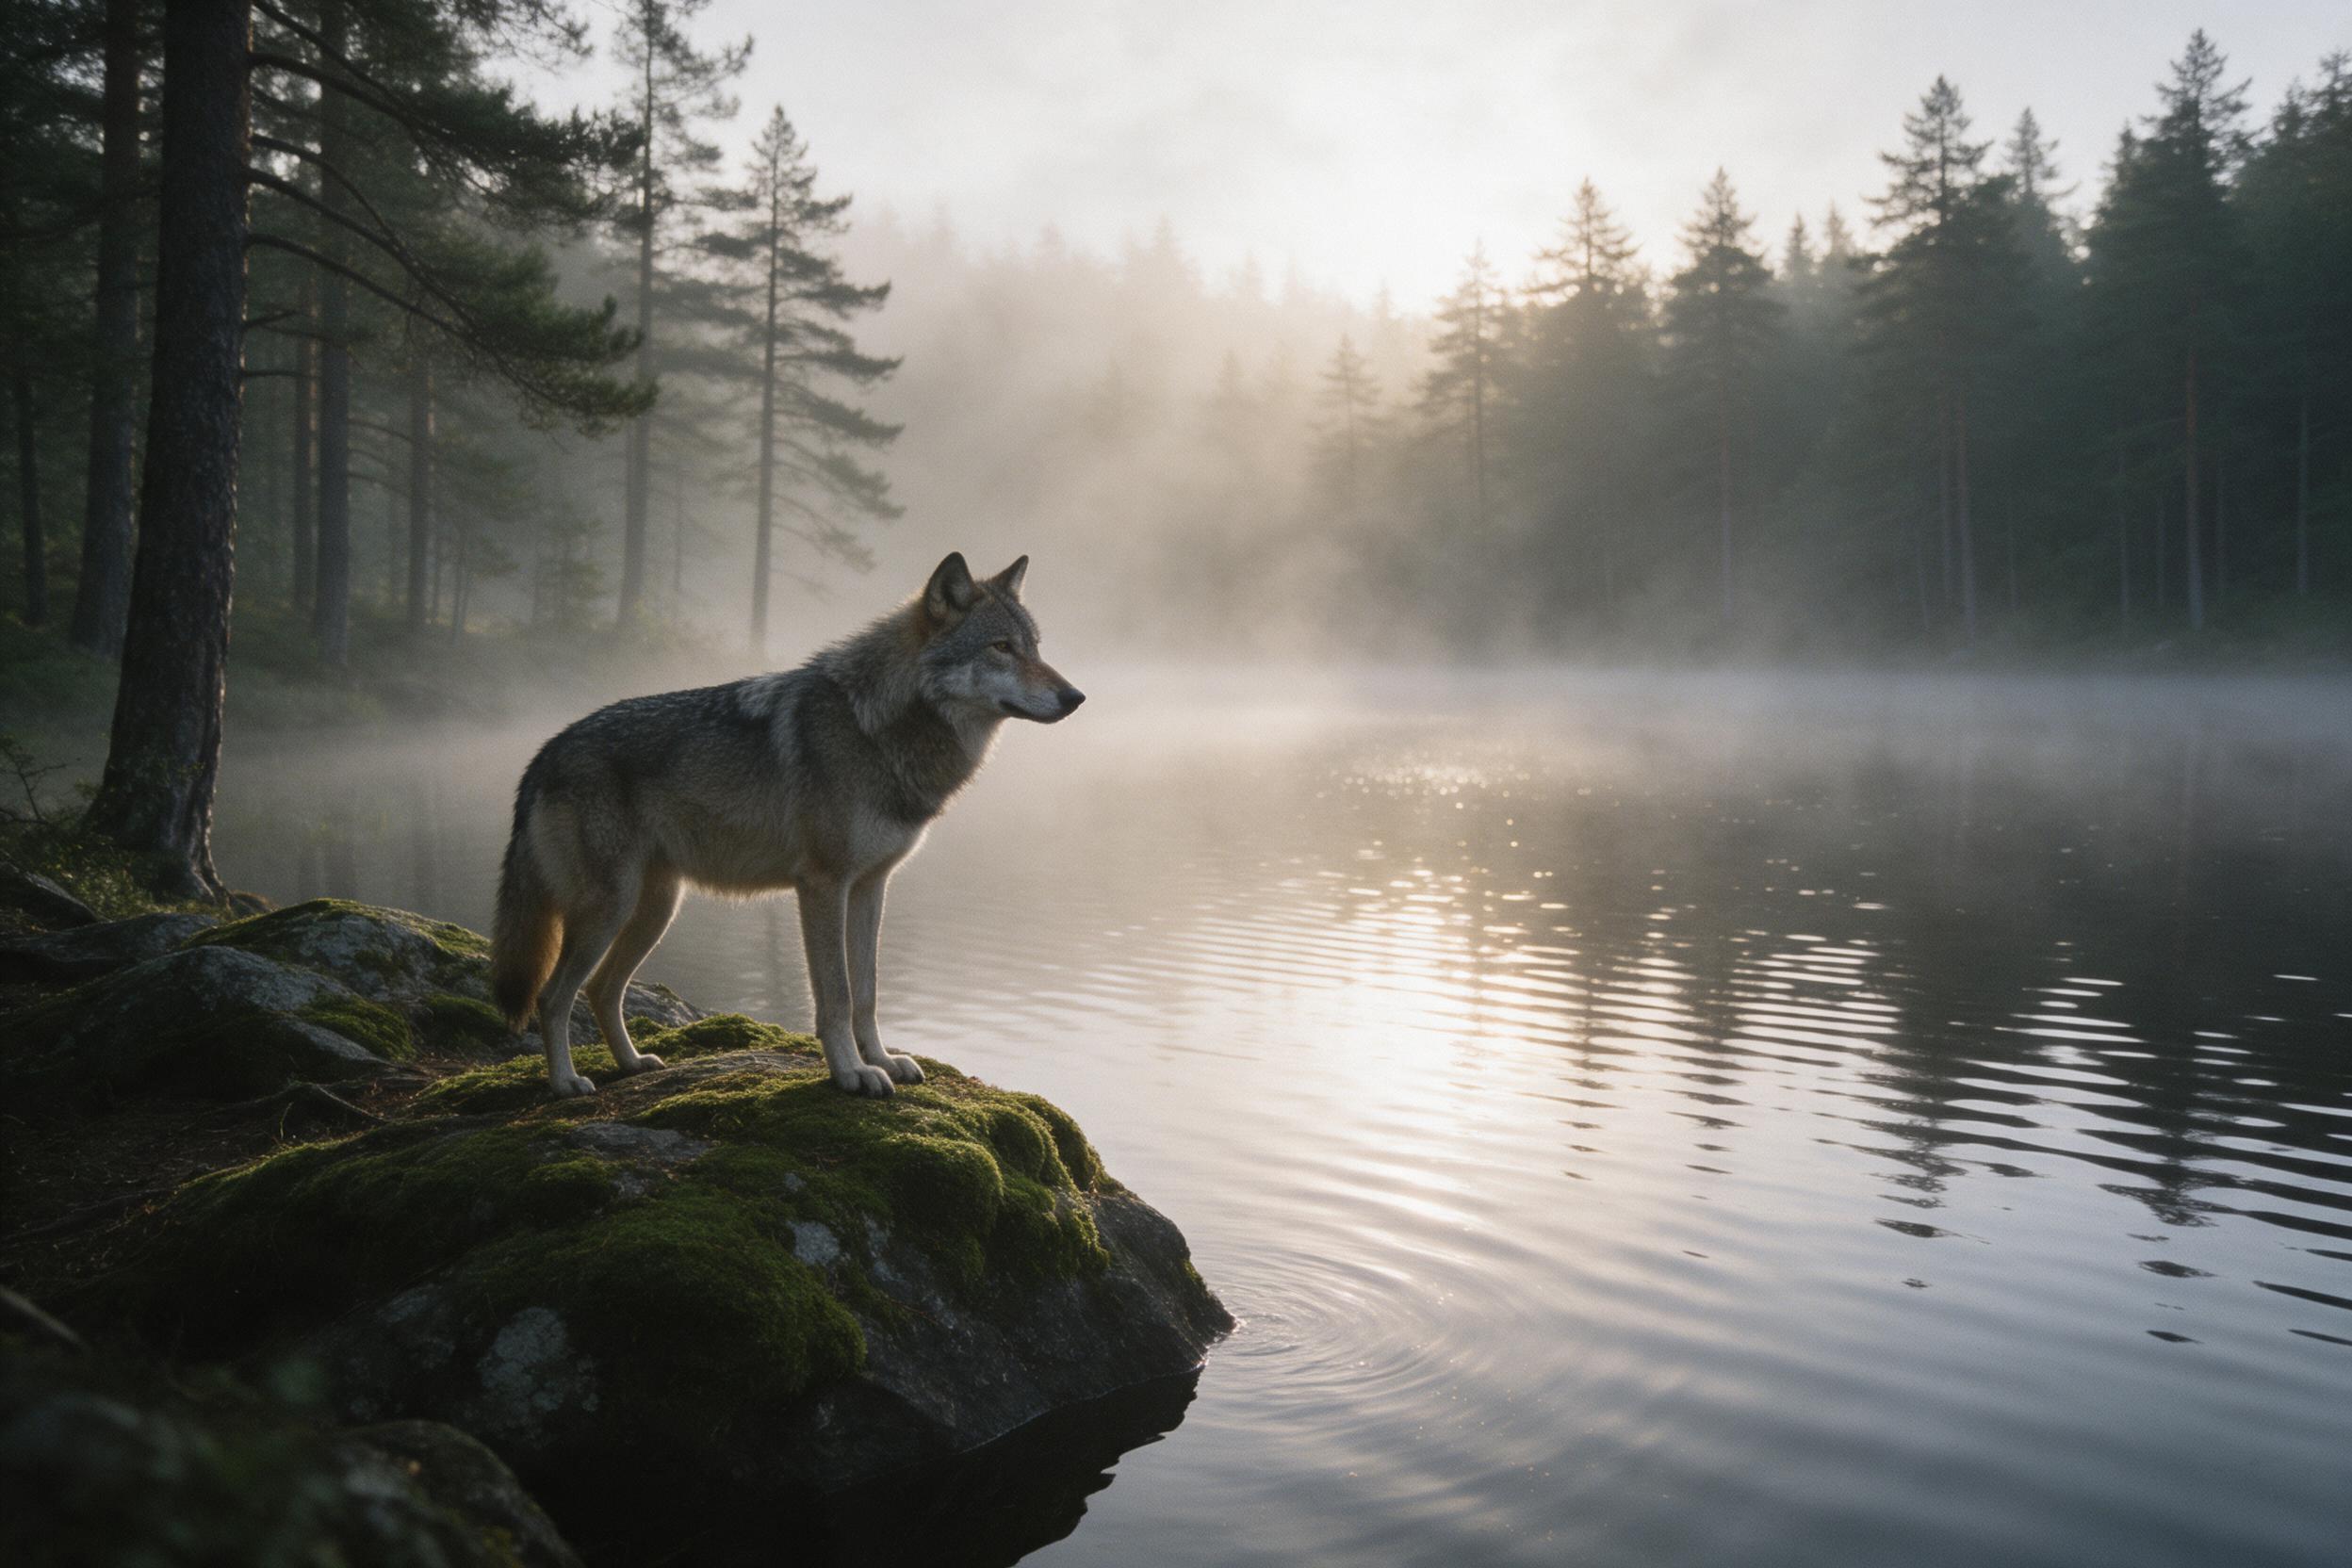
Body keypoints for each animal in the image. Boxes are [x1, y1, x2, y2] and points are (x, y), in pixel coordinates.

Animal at [489, 552, 1083, 1098]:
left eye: (1035, 646)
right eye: (1001, 647)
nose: (1076, 697)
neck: (876, 728)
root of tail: (542, 754)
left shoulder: (871, 887)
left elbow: (867, 992)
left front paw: (883, 1061)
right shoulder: (822, 885)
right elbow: (837, 995)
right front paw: (851, 1074)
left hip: (655, 909)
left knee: (602, 990)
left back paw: (633, 1065)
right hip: (610, 908)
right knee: (553, 995)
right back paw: (566, 1083)